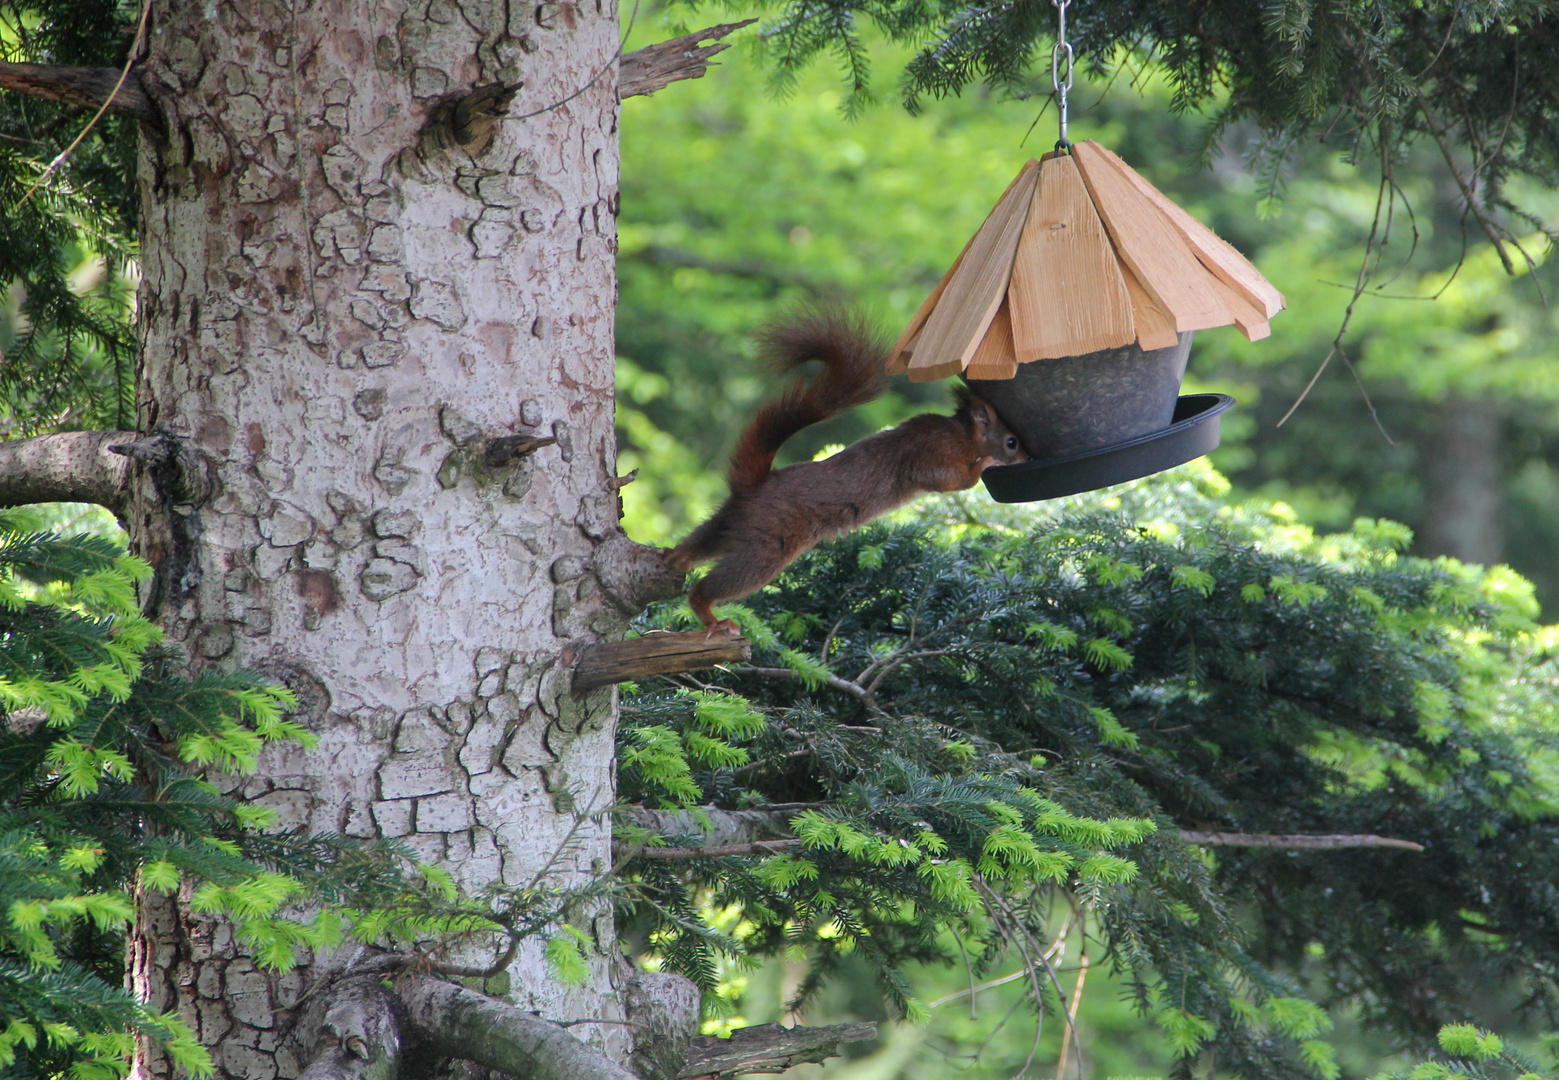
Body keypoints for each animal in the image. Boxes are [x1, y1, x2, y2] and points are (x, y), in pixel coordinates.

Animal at [664, 305, 1028, 632]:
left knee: (703, 540)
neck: (962, 435)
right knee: (714, 584)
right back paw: (711, 616)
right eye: (1011, 441)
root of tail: (758, 484)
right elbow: (954, 480)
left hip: (733, 521)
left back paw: (676, 558)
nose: (1026, 458)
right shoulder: (932, 454)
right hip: (767, 545)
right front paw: (986, 464)